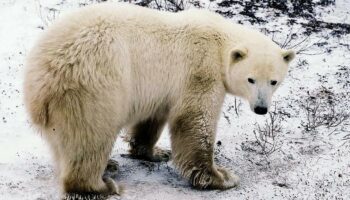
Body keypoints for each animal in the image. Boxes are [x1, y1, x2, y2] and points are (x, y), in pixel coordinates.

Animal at [23, 1, 294, 198]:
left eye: (274, 81)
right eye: (251, 79)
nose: (261, 108)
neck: (219, 41)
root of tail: (41, 76)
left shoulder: (161, 89)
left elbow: (151, 120)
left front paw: (155, 152)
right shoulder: (200, 70)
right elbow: (195, 121)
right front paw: (222, 177)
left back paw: (108, 165)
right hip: (95, 85)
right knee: (90, 135)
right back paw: (101, 186)